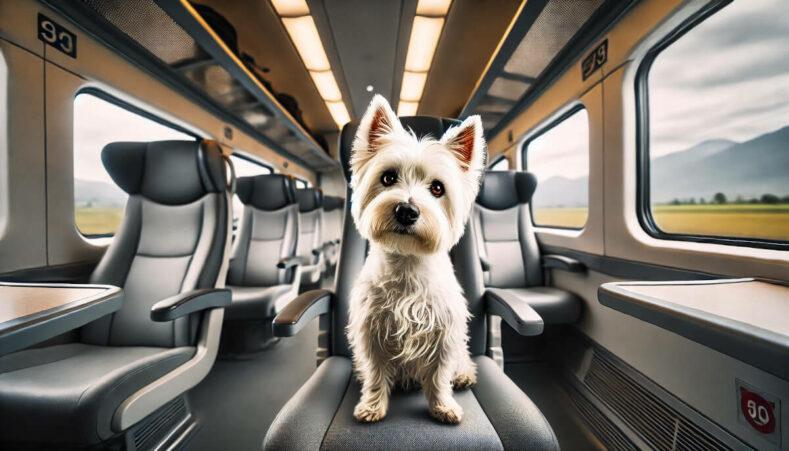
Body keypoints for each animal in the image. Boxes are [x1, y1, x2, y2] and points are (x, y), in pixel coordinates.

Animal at [346, 94, 484, 424]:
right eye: (388, 177)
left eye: (437, 187)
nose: (407, 210)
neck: (408, 262)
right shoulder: (371, 331)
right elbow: (375, 373)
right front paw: (372, 406)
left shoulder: (444, 331)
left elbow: (439, 375)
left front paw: (443, 406)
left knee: (461, 360)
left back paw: (464, 376)